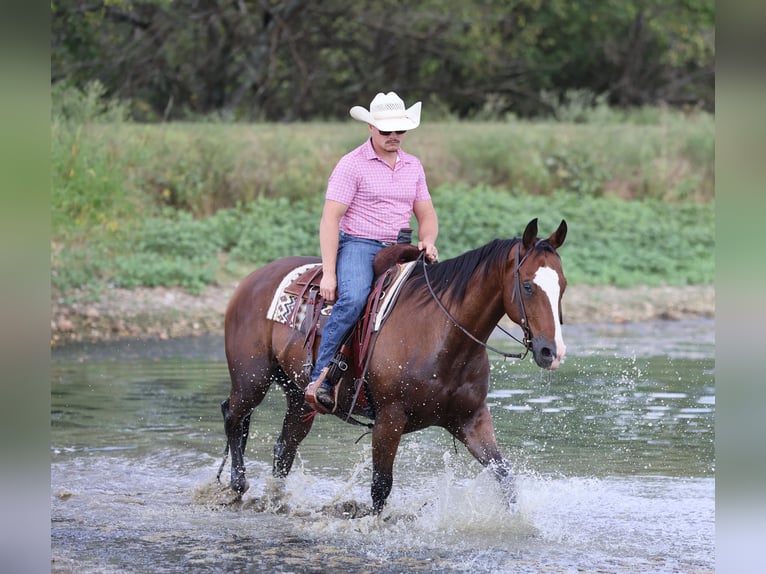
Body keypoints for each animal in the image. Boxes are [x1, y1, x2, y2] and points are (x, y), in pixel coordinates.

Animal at [219, 217, 567, 514]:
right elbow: (381, 485)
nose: (552, 351)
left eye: (562, 285)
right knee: (233, 415)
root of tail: (253, 279)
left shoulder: (472, 419)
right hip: (252, 380)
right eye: (527, 286)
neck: (441, 334)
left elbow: (505, 477)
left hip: (298, 396)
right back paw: (237, 484)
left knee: (284, 448)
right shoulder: (389, 418)